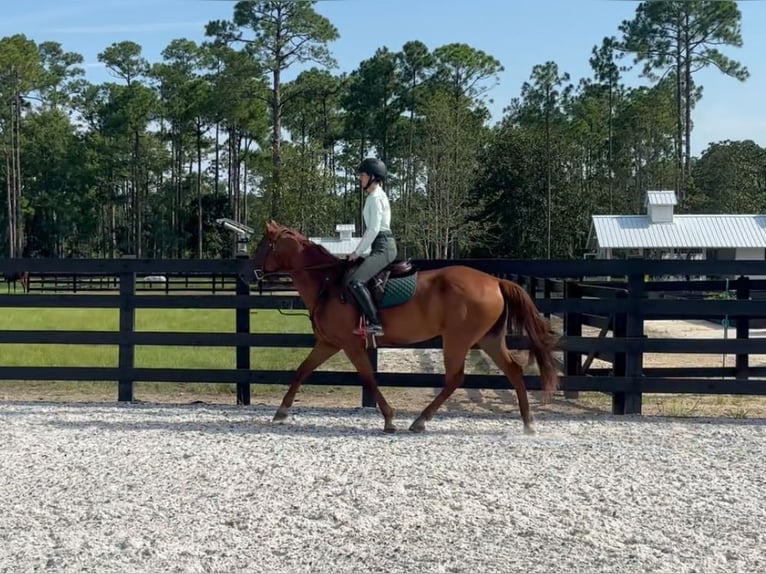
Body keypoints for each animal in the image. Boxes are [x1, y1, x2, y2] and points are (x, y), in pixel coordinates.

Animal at [251, 221, 560, 434]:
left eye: (263, 245)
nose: (246, 273)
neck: (328, 283)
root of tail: (495, 281)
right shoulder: (329, 343)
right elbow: (302, 371)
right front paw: (281, 412)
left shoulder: (350, 344)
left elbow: (368, 378)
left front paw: (389, 419)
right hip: (489, 338)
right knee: (513, 371)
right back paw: (528, 424)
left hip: (457, 340)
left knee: (455, 378)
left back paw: (420, 421)